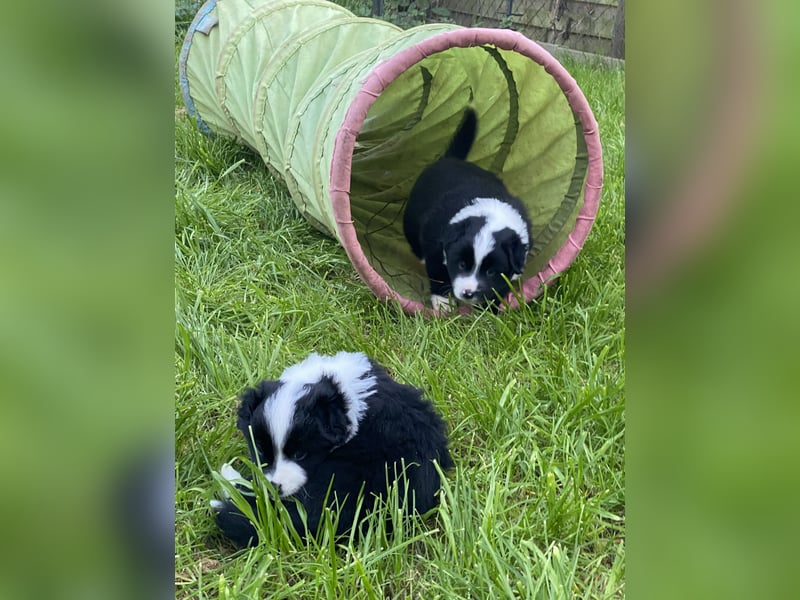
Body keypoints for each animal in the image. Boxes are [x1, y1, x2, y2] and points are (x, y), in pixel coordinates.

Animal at [404, 109, 536, 312]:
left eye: (490, 271)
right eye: (461, 264)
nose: (467, 293)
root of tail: (450, 159)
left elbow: (501, 285)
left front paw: (490, 309)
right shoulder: (435, 242)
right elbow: (437, 272)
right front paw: (443, 304)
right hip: (411, 216)